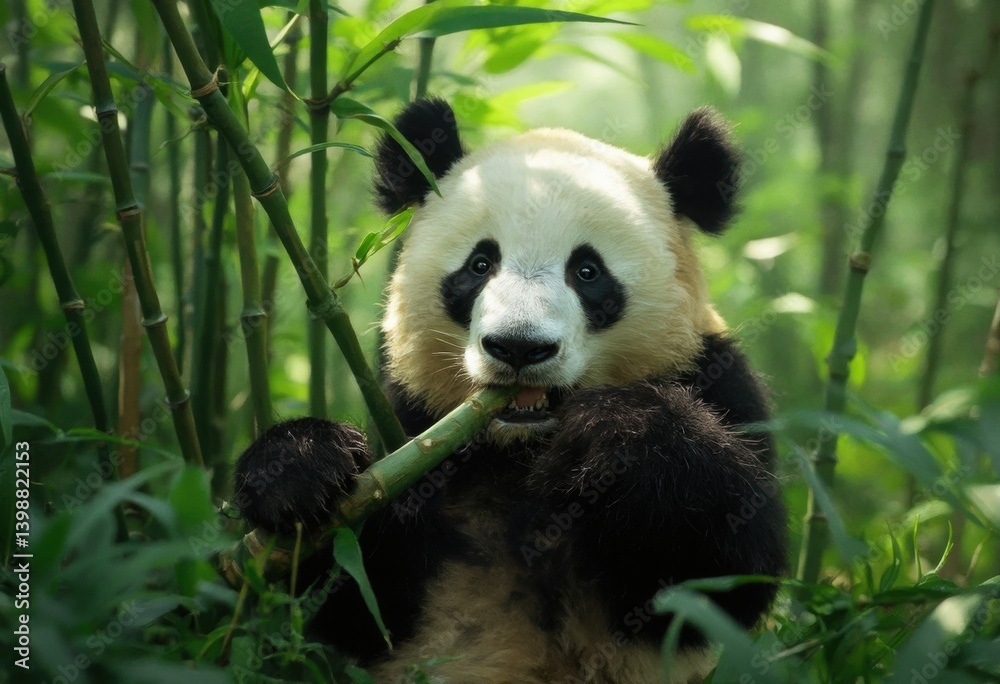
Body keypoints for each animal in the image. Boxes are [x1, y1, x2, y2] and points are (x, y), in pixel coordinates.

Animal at [235, 98, 787, 683]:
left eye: (587, 271)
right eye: (480, 264)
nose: (519, 347)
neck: (518, 451)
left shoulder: (716, 380)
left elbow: (726, 571)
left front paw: (614, 436)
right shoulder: (412, 418)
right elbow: (358, 595)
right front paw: (298, 469)